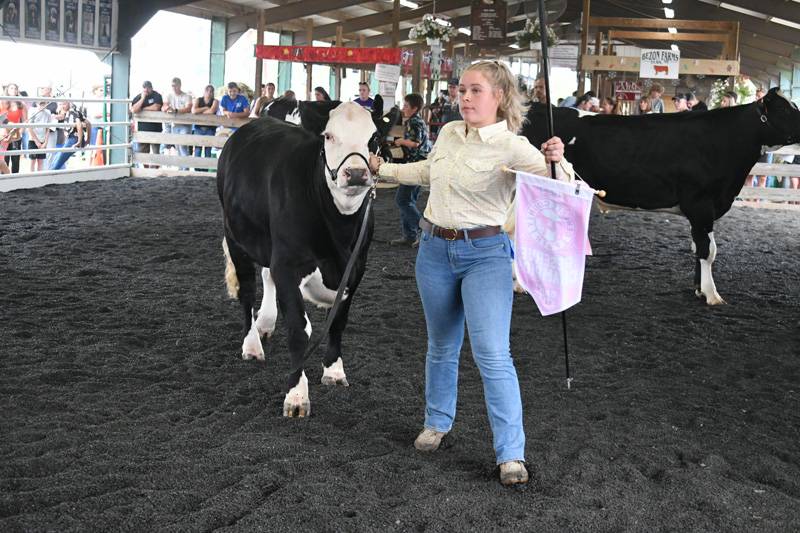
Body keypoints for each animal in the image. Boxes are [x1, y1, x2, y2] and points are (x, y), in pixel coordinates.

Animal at [524, 87, 800, 304]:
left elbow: (698, 247)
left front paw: (699, 290)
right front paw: (712, 295)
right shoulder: (700, 203)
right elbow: (708, 250)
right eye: (785, 110)